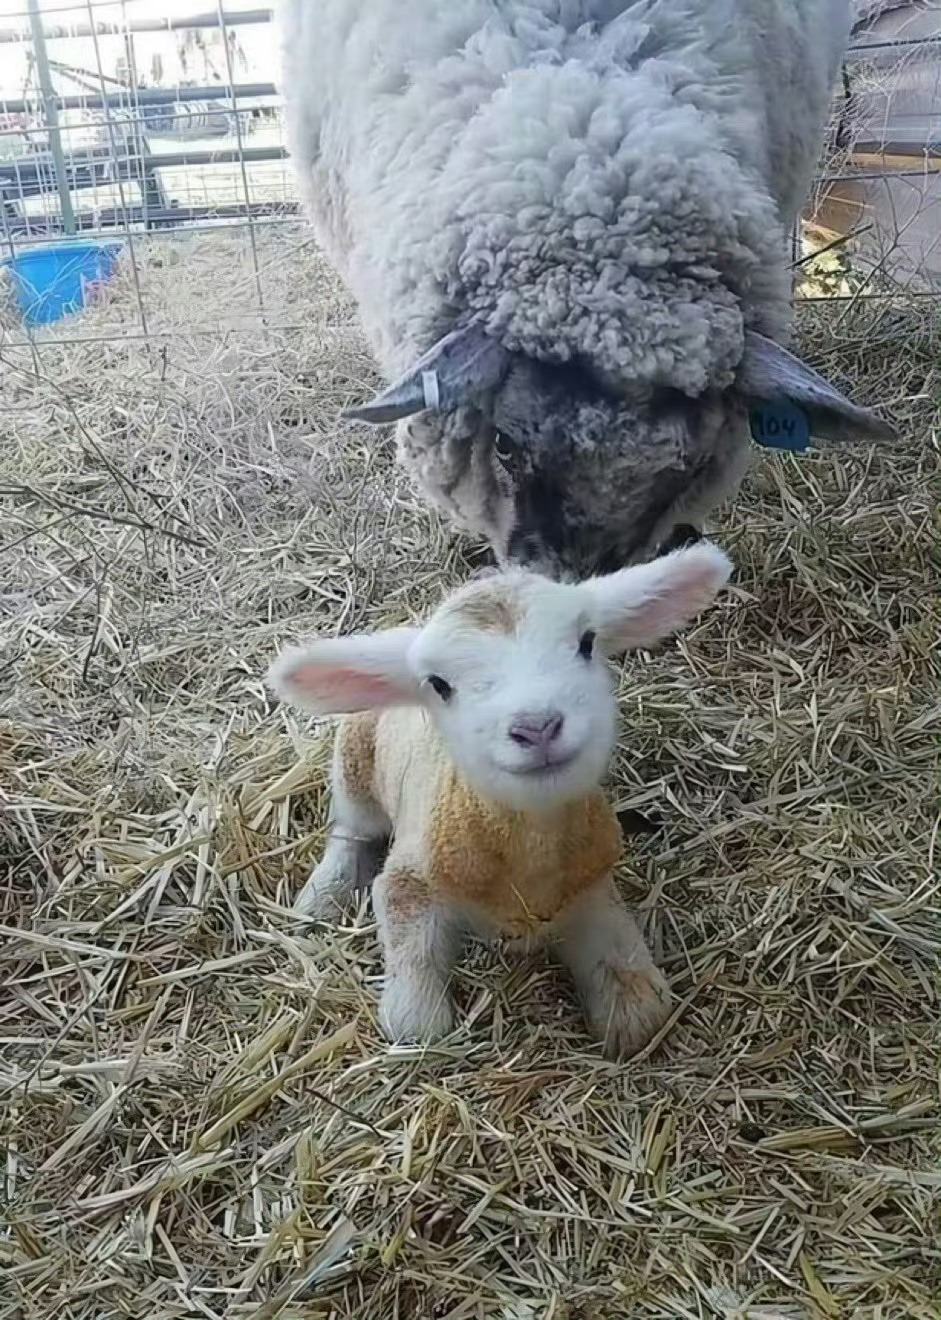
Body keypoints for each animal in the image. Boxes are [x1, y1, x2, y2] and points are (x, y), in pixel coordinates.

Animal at [267, 541, 728, 1056]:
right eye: (439, 684)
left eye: (587, 642)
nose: (537, 727)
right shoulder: (410, 881)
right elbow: (416, 1019)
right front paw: (420, 1021)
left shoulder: (590, 884)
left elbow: (637, 999)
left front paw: (628, 1011)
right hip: (355, 763)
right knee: (351, 830)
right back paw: (322, 896)